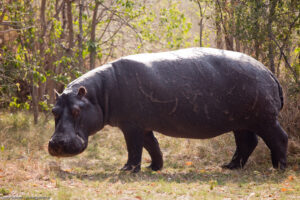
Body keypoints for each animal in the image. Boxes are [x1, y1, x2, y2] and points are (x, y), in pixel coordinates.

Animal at [48, 48, 288, 172]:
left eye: (77, 111)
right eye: (53, 111)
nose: (57, 144)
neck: (98, 94)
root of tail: (268, 71)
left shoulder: (131, 126)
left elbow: (134, 148)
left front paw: (127, 169)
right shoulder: (142, 125)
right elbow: (152, 146)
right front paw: (155, 168)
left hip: (264, 119)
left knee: (279, 138)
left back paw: (279, 168)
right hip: (241, 122)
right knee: (247, 143)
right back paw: (230, 166)